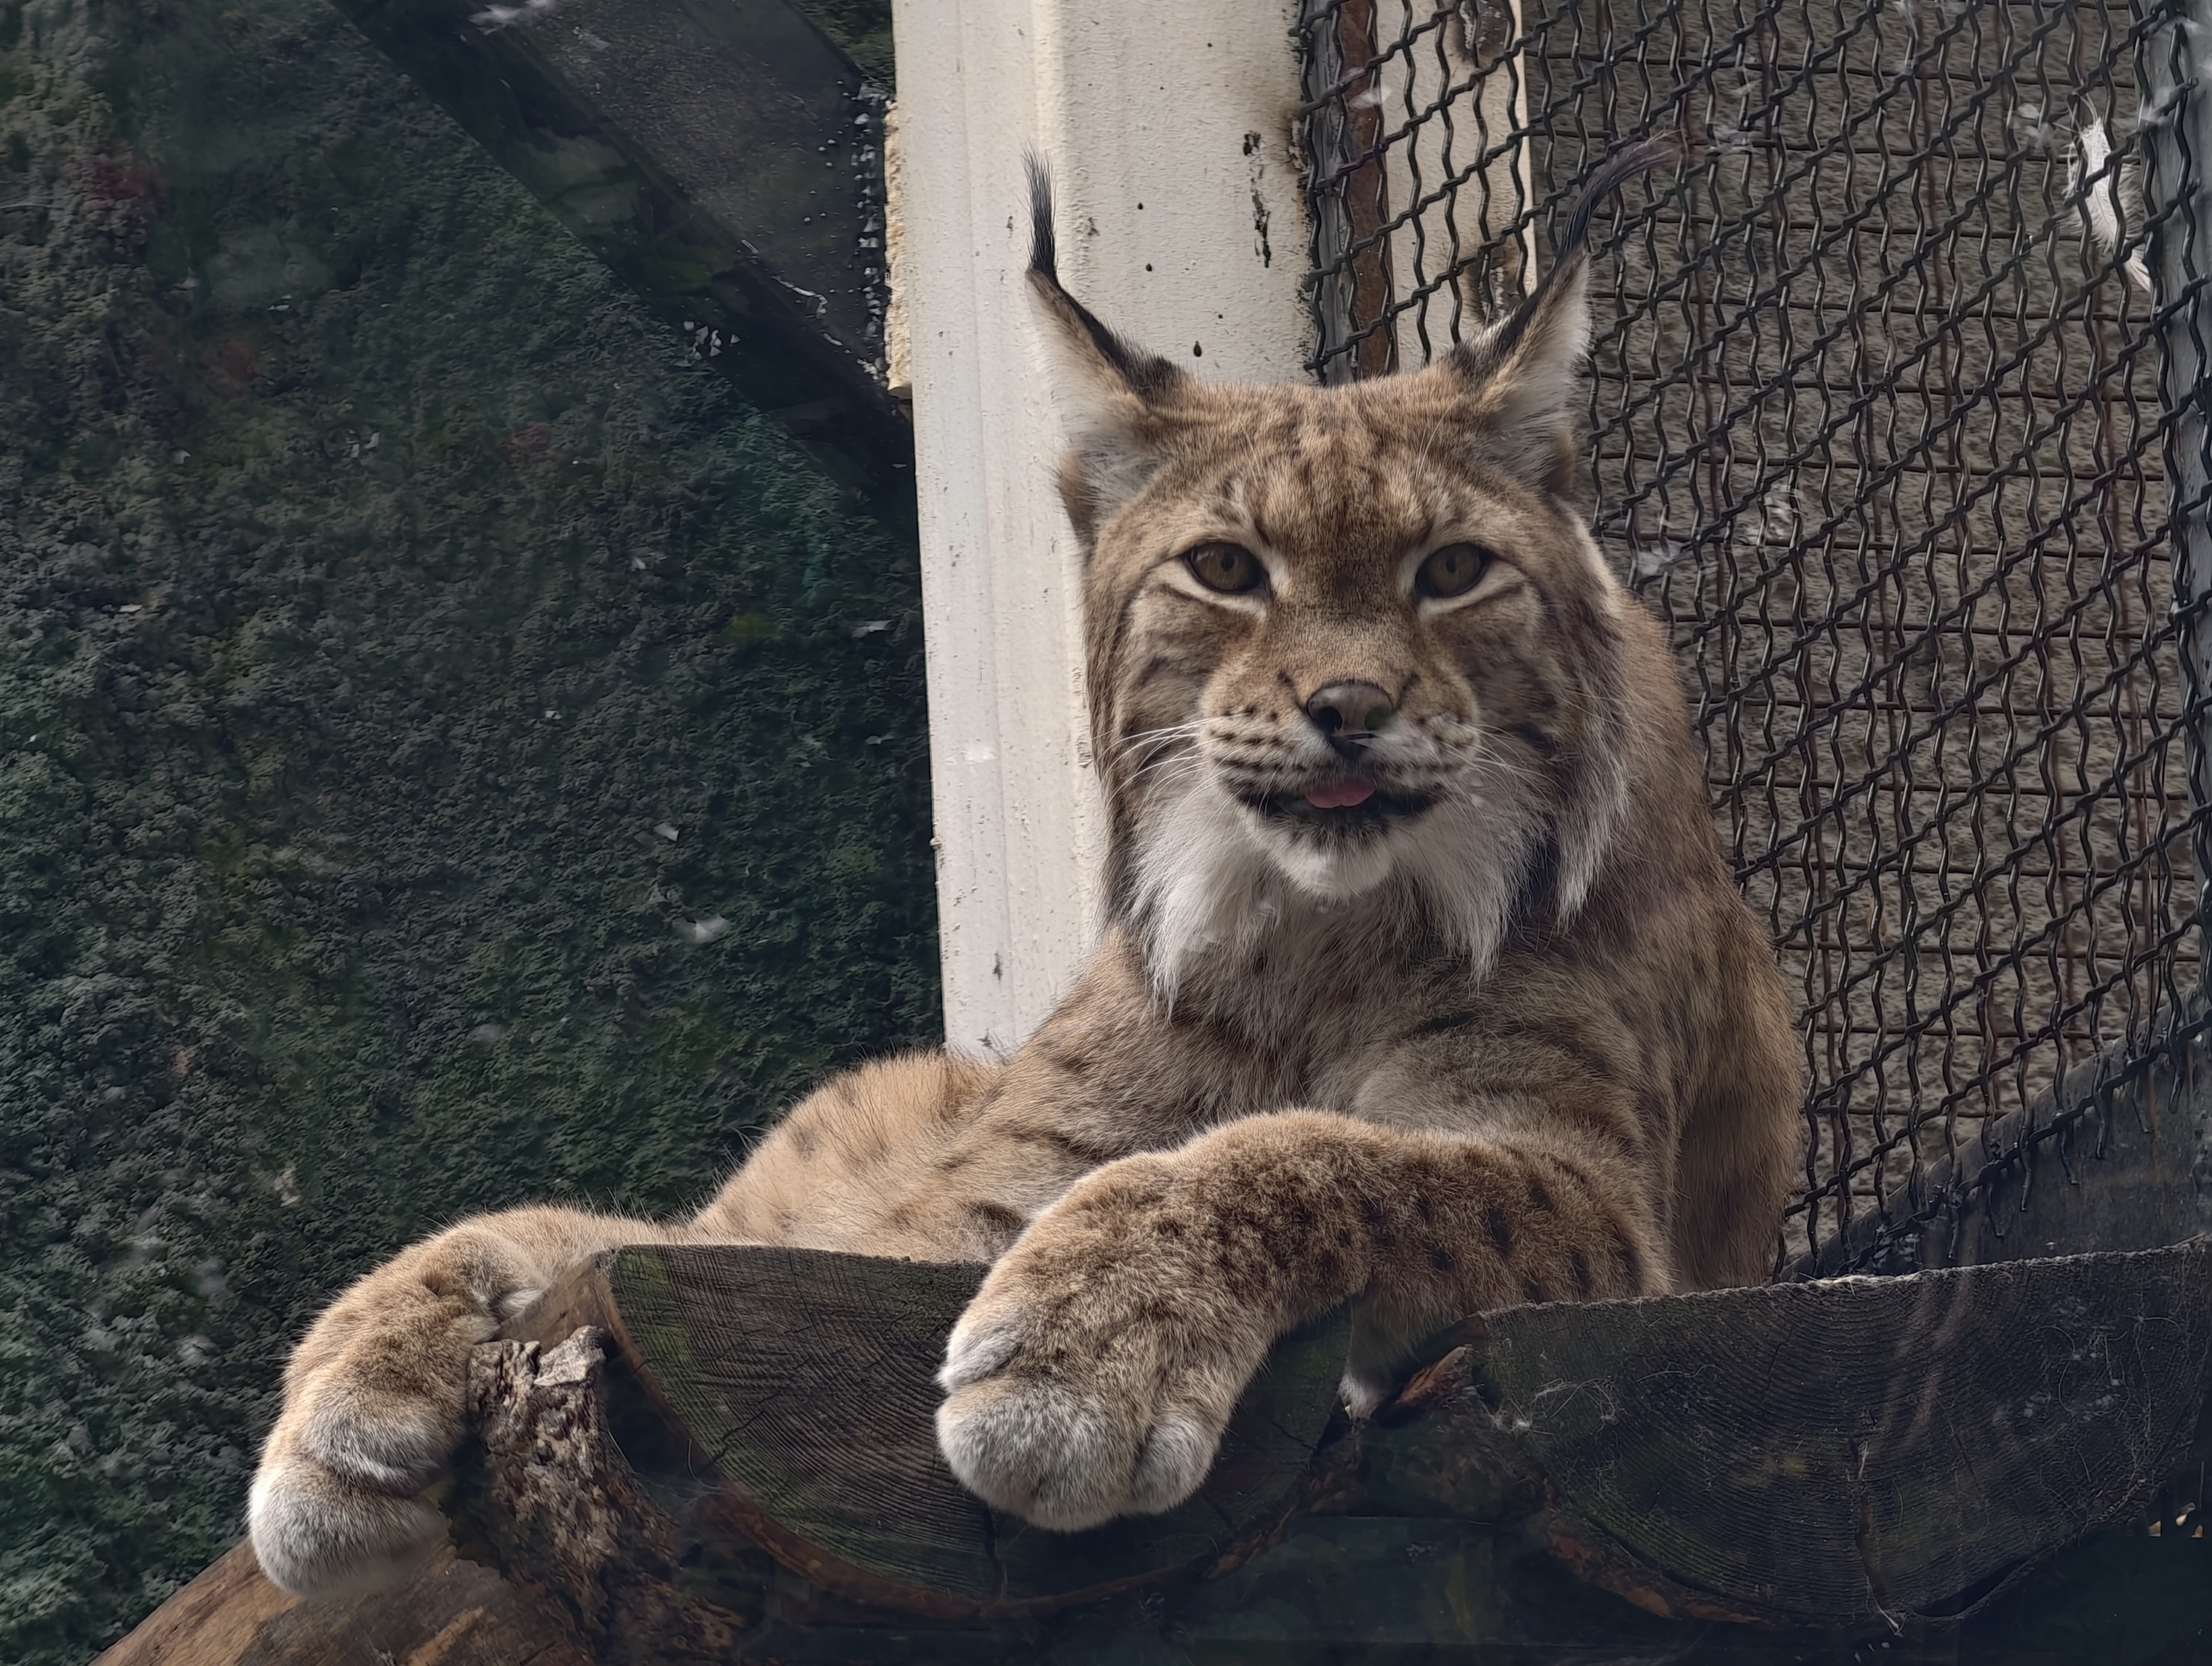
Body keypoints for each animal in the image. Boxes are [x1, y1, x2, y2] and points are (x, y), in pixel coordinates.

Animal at [247, 141, 1801, 1599]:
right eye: (1227, 570)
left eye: (1453, 571)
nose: (1348, 706)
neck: (1307, 927)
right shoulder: (984, 1190)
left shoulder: (1601, 1199)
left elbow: (1317, 1155)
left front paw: (1086, 1347)